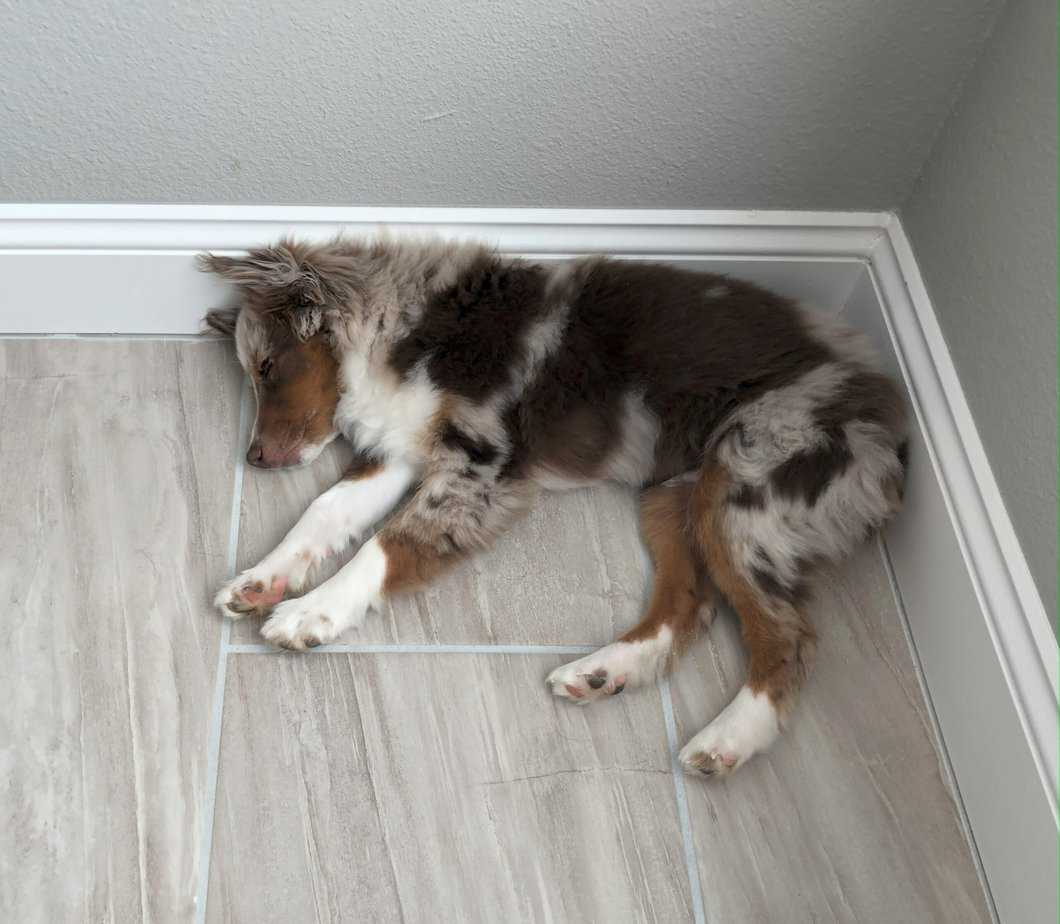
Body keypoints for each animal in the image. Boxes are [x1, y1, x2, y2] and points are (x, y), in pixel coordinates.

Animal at [202, 234, 907, 775]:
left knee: (786, 635)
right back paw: (604, 672)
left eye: (266, 367)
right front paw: (262, 581)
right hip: (673, 496)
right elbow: (324, 512)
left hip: (748, 477)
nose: (253, 460)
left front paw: (310, 613)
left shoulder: (478, 465)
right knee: (689, 605)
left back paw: (727, 739)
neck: (401, 330)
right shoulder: (400, 449)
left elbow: (384, 545)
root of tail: (888, 420)